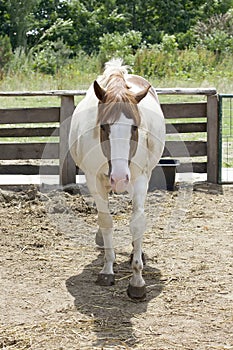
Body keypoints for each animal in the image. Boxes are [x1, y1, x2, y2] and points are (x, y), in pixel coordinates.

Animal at [69, 58, 166, 300]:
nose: (120, 177)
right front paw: (107, 269)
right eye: (103, 126)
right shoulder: (94, 179)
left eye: (134, 127)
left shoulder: (140, 179)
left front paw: (137, 279)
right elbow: (106, 221)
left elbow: (137, 223)